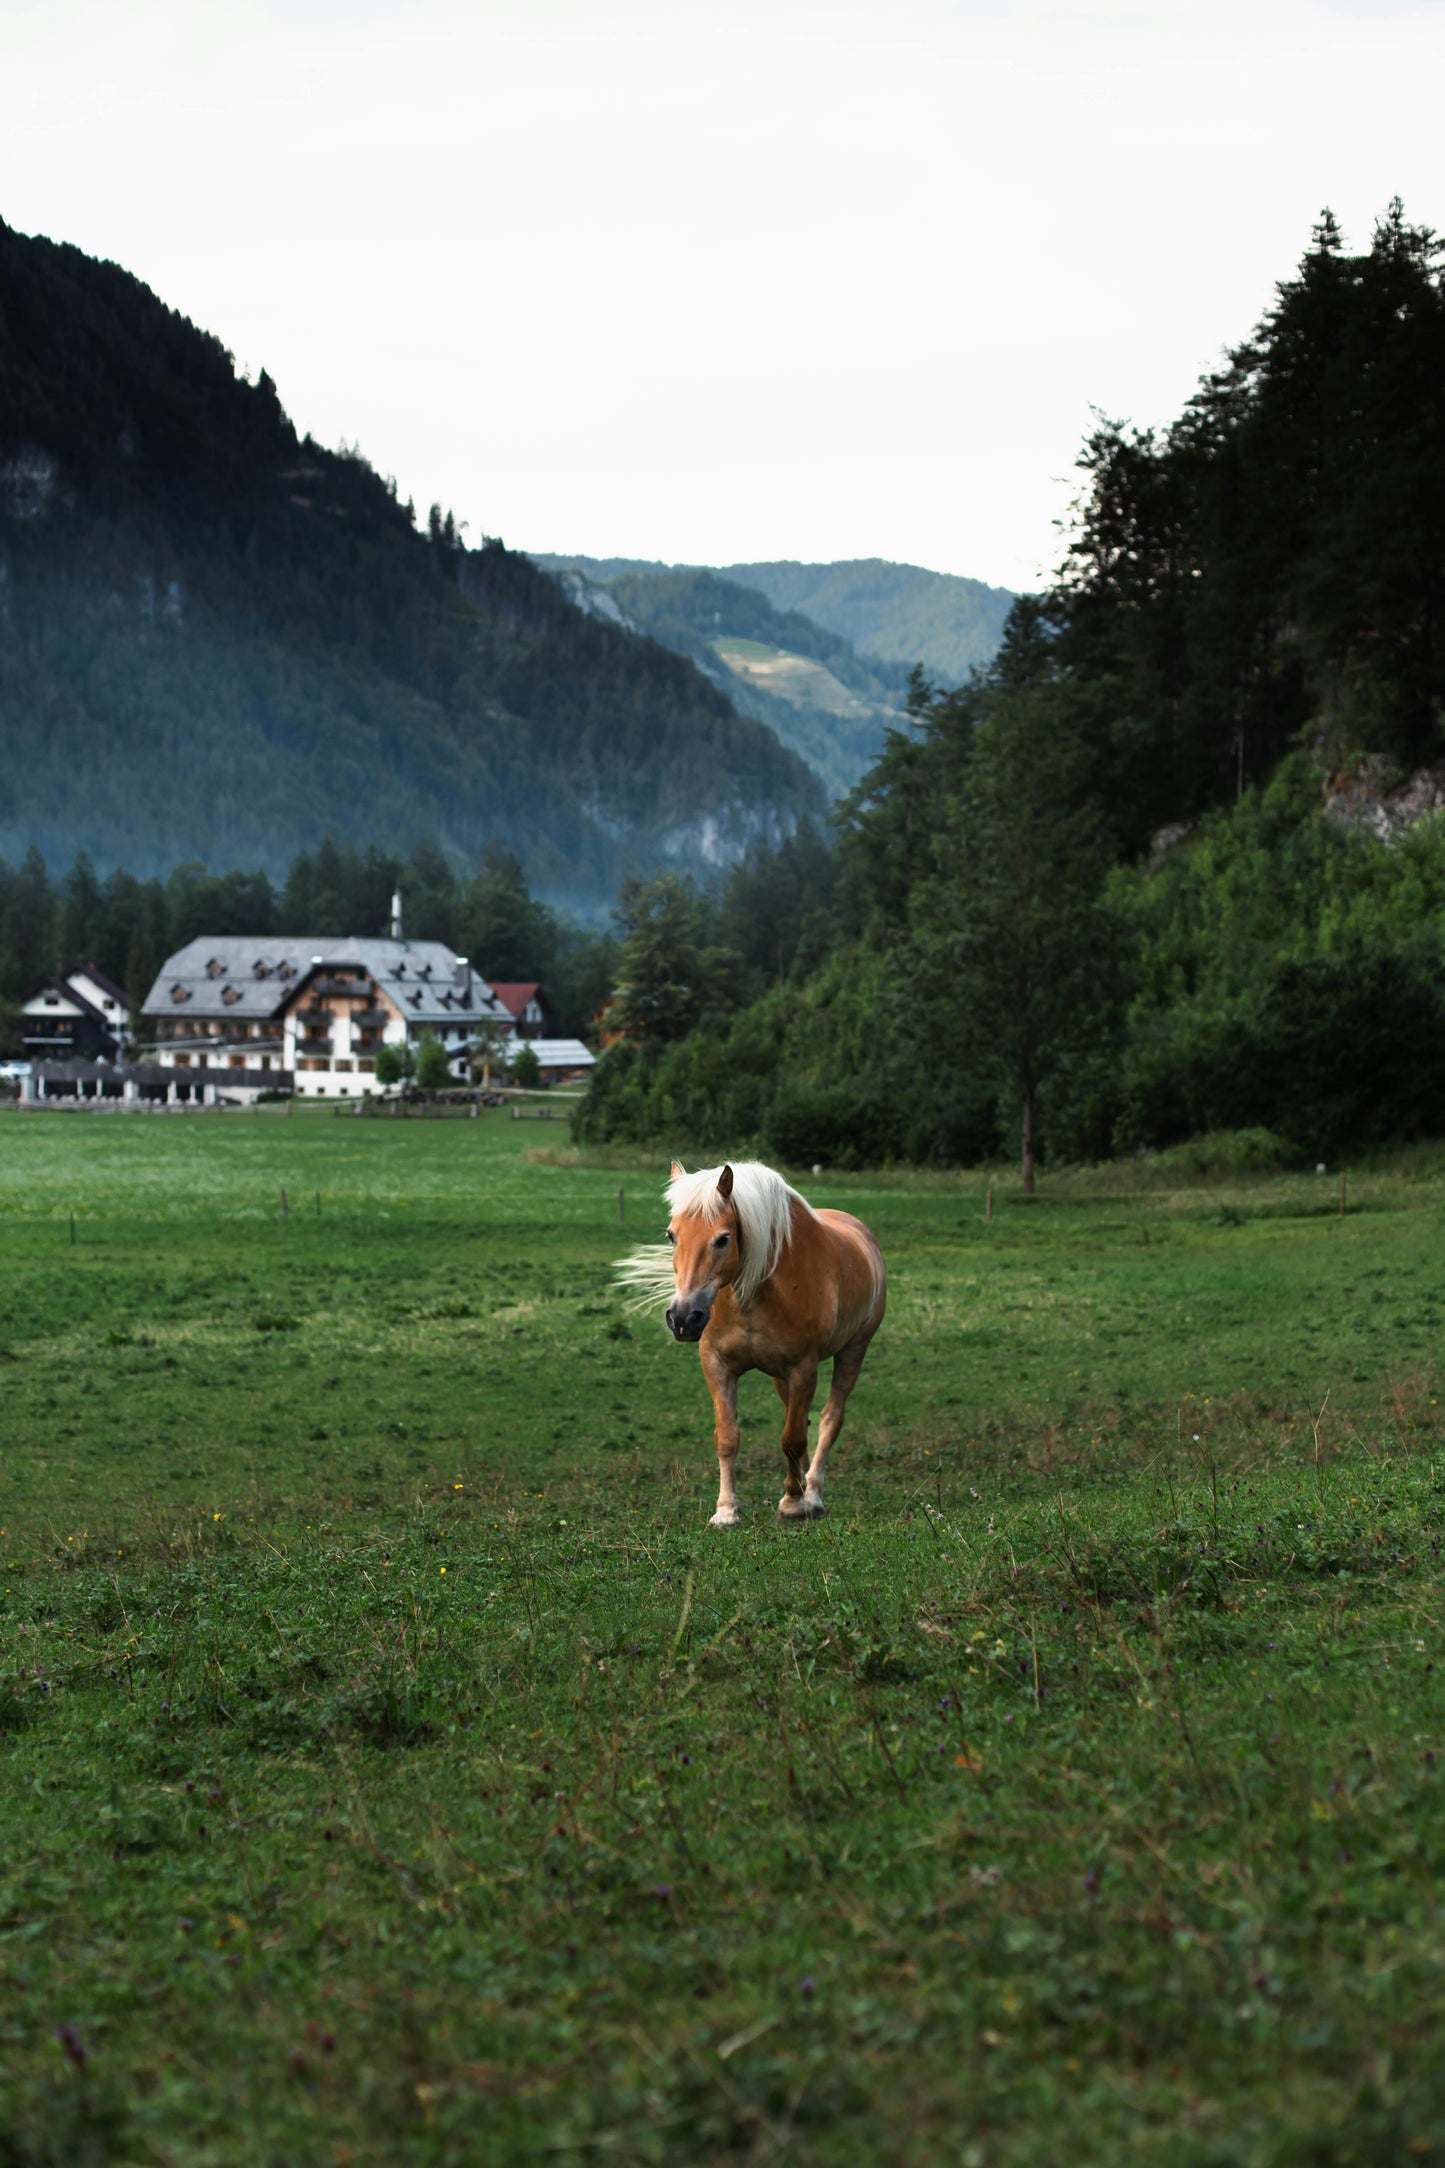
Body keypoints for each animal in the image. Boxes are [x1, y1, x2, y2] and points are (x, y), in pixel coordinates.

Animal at [617, 1160, 886, 1527]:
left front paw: (793, 1503)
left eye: (723, 1239)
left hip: (853, 1350)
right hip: (781, 1376)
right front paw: (726, 1510)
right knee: (800, 1417)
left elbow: (792, 1439)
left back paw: (812, 1493)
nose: (684, 1318)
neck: (756, 1295)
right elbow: (728, 1437)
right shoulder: (717, 1364)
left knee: (830, 1418)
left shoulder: (803, 1368)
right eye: (671, 1236)